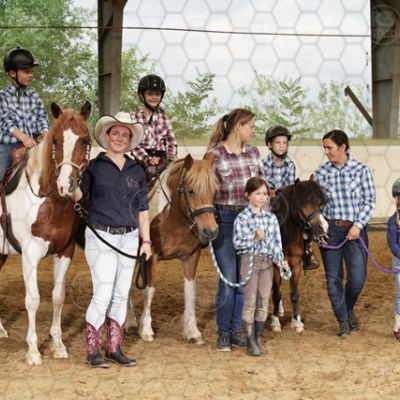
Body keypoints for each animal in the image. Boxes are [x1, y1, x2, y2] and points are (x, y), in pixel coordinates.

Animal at [0, 102, 91, 365]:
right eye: (56, 141)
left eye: (84, 139)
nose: (66, 185)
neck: (49, 201)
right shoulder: (30, 256)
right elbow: (33, 300)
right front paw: (33, 350)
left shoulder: (65, 252)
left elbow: (58, 296)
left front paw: (58, 345)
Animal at [125, 154, 219, 344]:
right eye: (191, 190)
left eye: (215, 191)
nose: (211, 231)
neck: (172, 216)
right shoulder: (151, 256)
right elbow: (149, 291)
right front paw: (146, 330)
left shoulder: (192, 256)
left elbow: (190, 291)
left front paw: (192, 331)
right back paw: (129, 323)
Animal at [270, 177, 328, 333]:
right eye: (303, 202)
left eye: (319, 202)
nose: (323, 227)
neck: (285, 236)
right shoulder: (275, 266)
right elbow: (276, 294)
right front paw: (275, 322)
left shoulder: (295, 265)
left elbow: (294, 294)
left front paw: (297, 322)